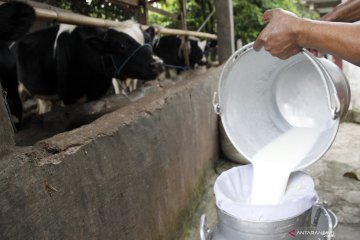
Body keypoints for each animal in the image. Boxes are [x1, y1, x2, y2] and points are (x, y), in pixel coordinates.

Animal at [14, 20, 163, 113]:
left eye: (149, 41)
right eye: (123, 45)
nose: (158, 64)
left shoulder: (96, 90)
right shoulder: (68, 94)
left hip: (43, 96)